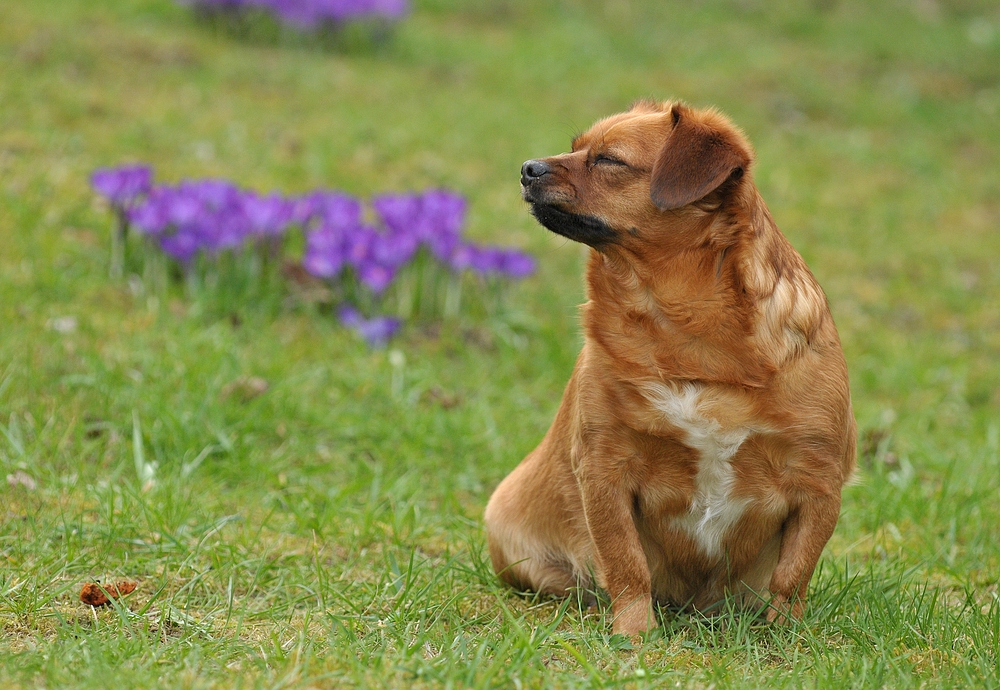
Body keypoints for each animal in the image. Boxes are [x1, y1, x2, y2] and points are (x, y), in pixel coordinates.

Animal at [486, 101, 860, 636]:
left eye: (610, 160)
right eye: (574, 147)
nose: (527, 168)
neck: (687, 329)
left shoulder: (819, 481)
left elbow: (791, 575)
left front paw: (782, 636)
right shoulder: (605, 470)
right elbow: (626, 563)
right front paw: (634, 634)